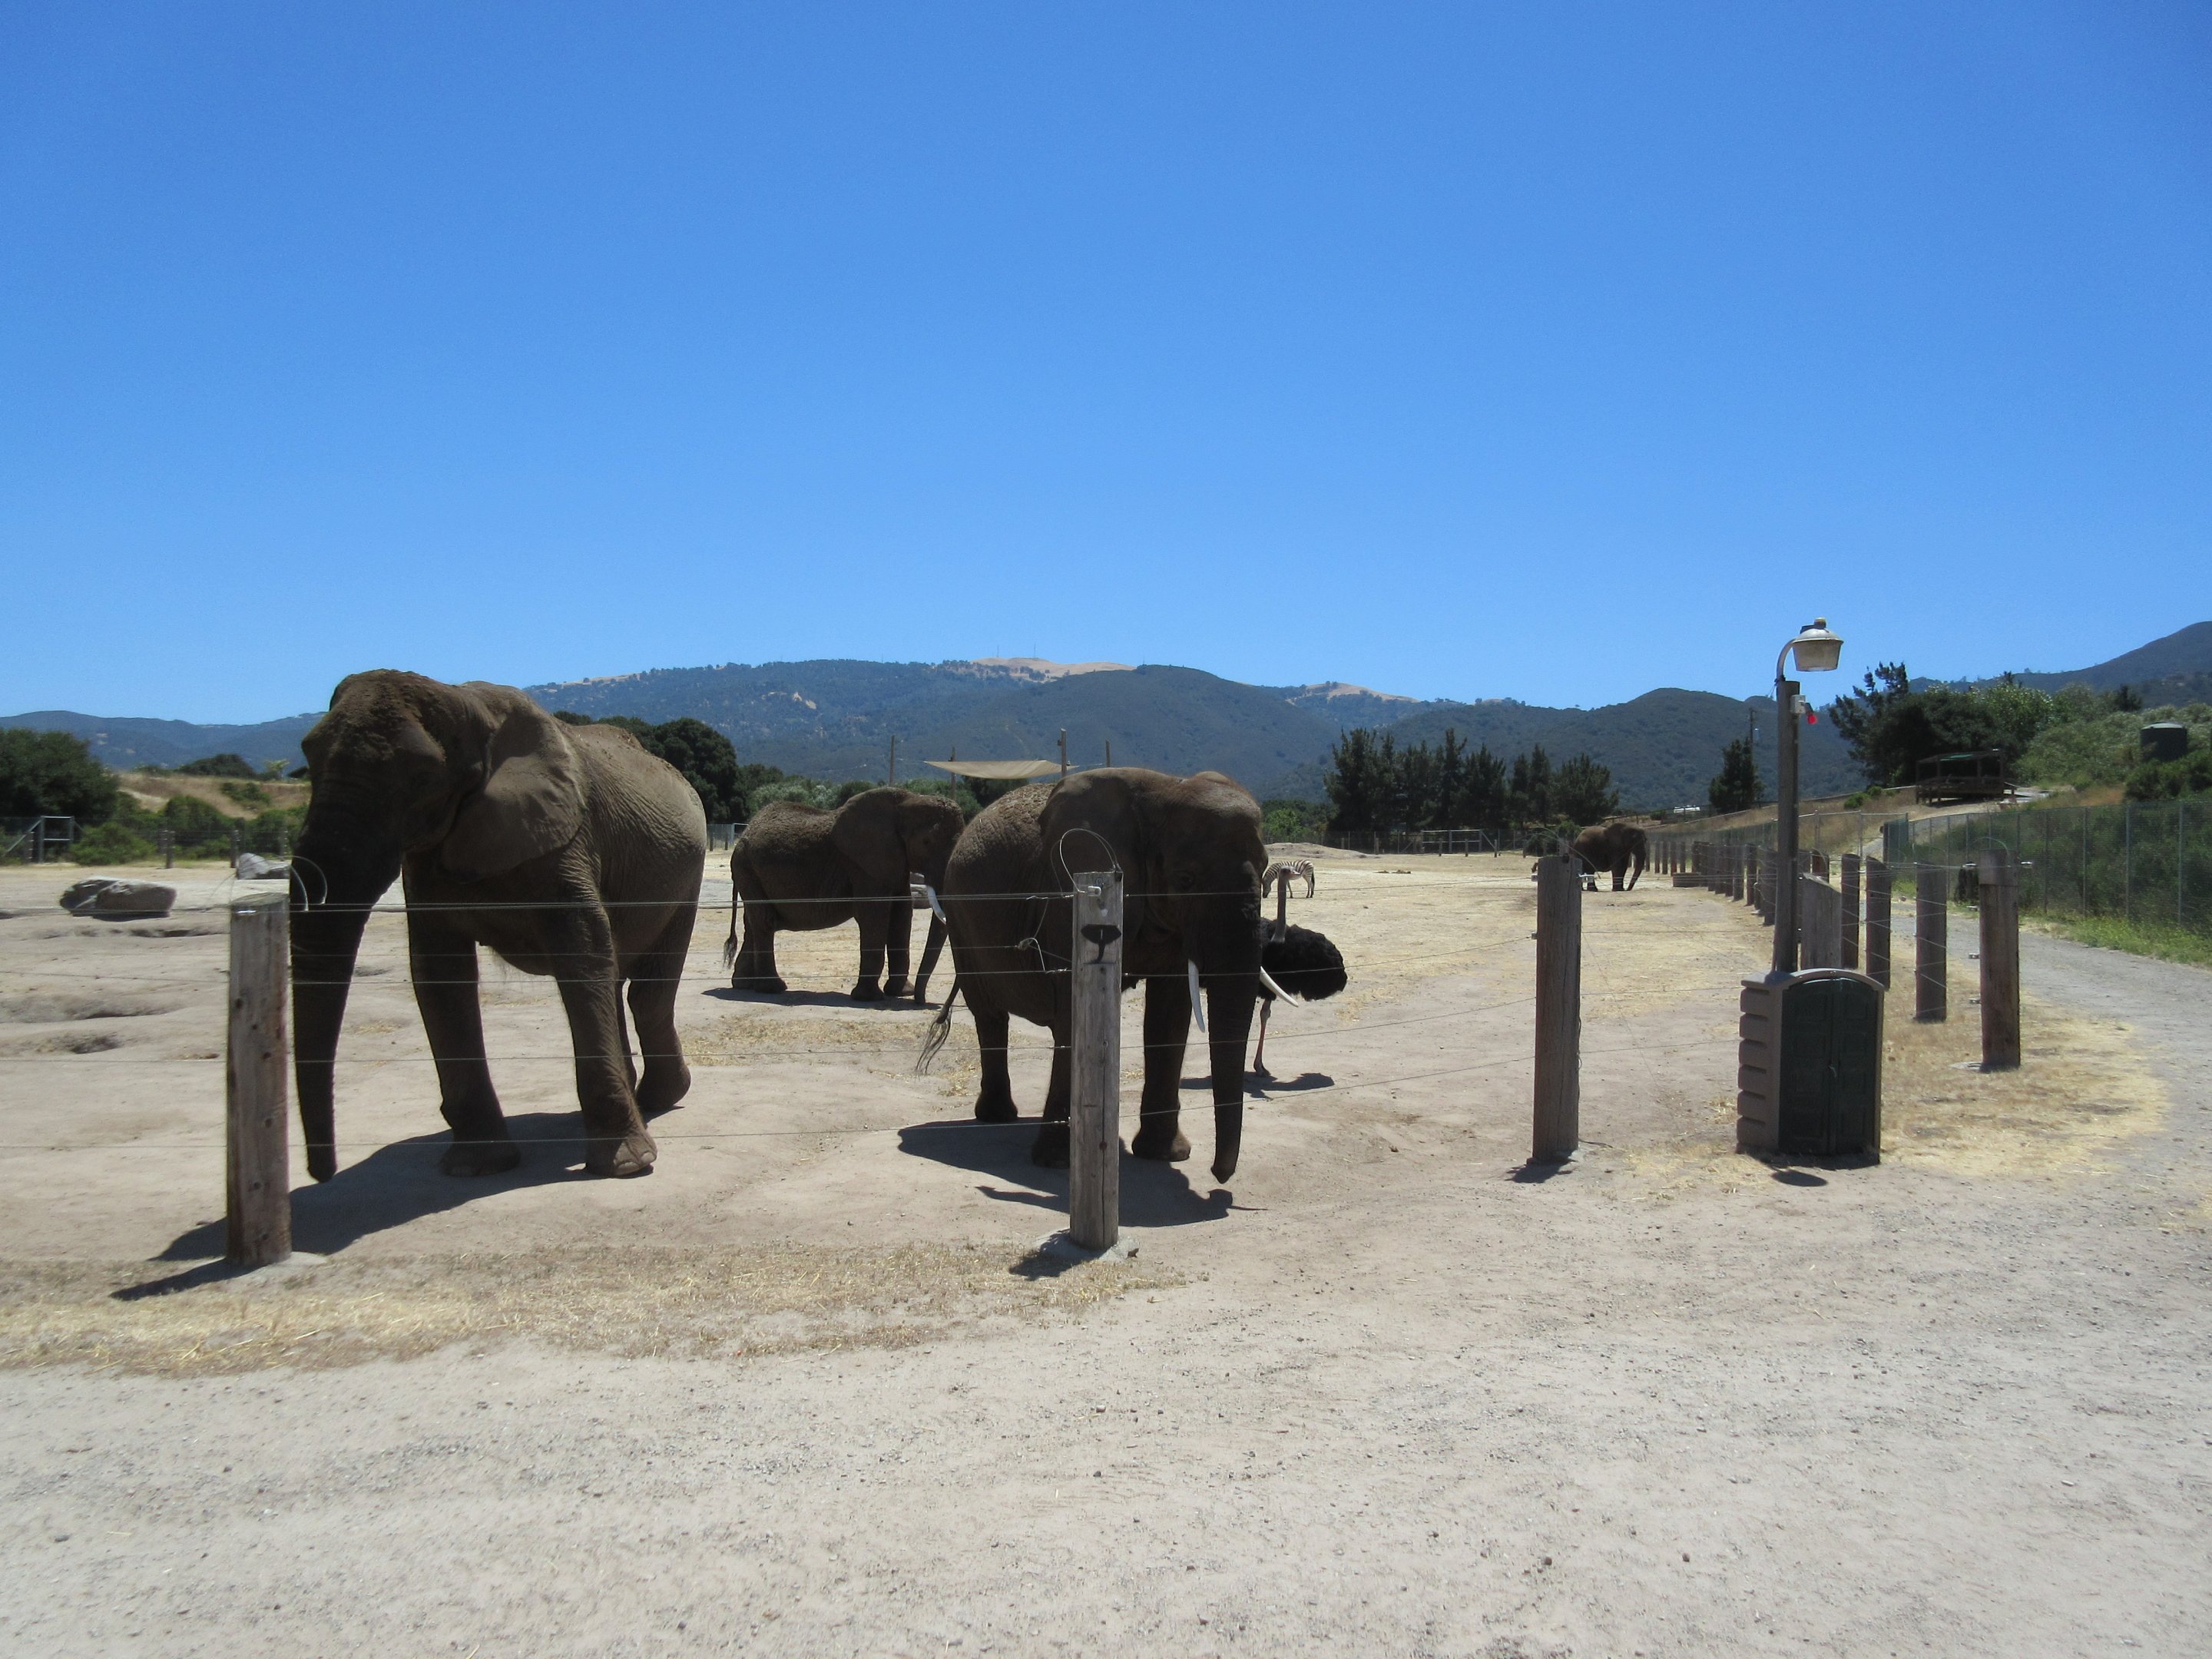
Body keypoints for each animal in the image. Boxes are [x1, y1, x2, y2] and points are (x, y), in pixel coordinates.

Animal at [289, 671, 707, 1183]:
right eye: (308, 757)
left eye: (423, 777)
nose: (322, 1172)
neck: (462, 704)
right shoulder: (428, 864)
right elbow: (438, 971)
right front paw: (478, 1167)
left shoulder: (565, 837)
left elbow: (581, 950)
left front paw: (626, 1167)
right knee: (616, 981)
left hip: (687, 876)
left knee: (646, 993)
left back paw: (659, 1099)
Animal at [724, 787, 966, 1002]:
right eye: (926, 842)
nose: (920, 999)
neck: (908, 799)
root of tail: (745, 834)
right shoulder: (864, 864)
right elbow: (874, 916)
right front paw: (869, 998)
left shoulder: (894, 862)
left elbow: (902, 915)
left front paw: (900, 993)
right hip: (747, 867)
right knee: (764, 921)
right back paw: (772, 988)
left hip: (750, 871)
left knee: (753, 924)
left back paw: (743, 985)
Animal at [933, 767, 1346, 1182]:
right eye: (1185, 880)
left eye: (1264, 872)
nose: (1218, 1175)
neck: (1164, 791)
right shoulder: (1072, 892)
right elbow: (1071, 1012)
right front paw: (1057, 1162)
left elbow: (1170, 1014)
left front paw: (1166, 1155)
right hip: (959, 919)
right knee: (989, 1014)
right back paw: (997, 1116)